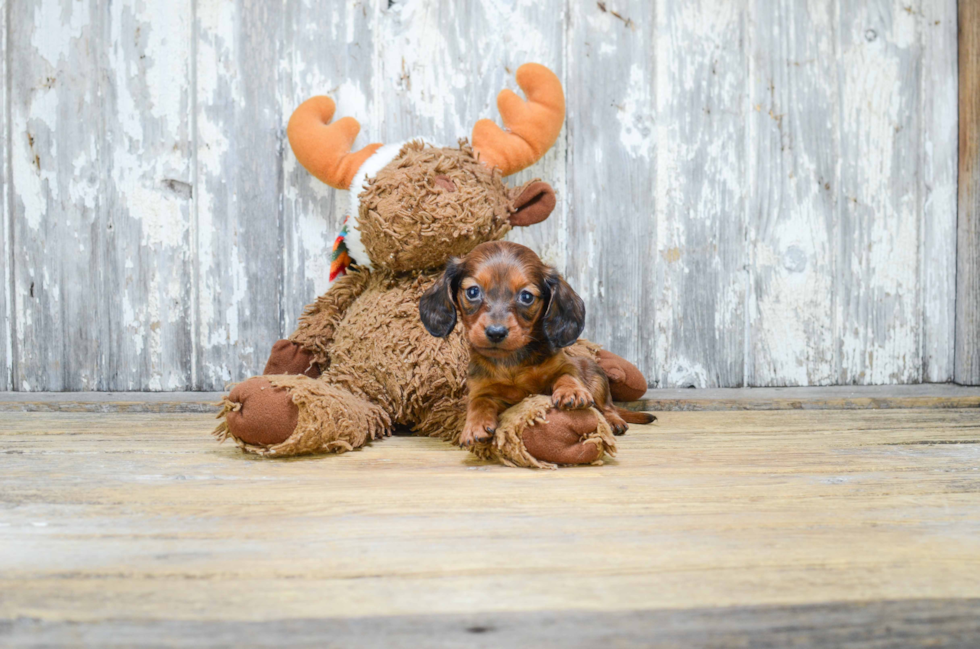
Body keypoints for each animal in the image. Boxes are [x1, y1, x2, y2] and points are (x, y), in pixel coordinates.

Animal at [418, 240, 656, 448]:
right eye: (473, 292)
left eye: (526, 296)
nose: (496, 332)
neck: (511, 361)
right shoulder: (481, 388)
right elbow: (479, 402)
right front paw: (474, 426)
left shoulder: (564, 366)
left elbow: (567, 375)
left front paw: (572, 392)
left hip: (598, 378)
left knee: (607, 407)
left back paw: (614, 421)